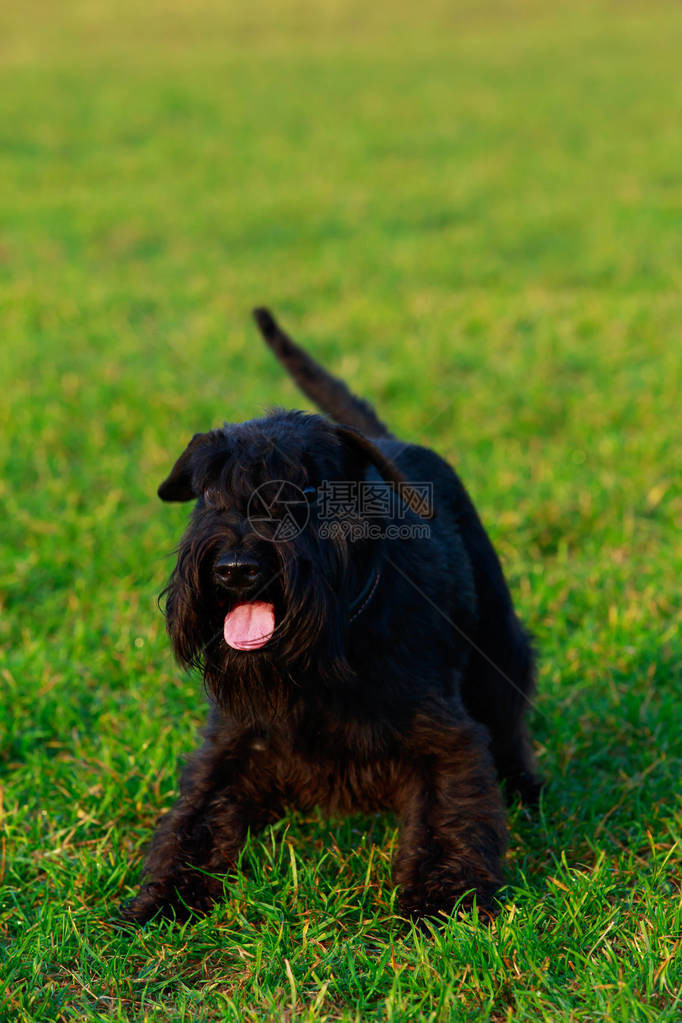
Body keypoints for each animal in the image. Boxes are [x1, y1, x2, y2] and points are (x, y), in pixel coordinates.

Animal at [122, 308, 539, 928]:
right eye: (210, 492)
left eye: (310, 487)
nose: (236, 568)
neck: (326, 657)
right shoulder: (232, 744)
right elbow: (193, 822)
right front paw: (161, 897)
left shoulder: (443, 737)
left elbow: (450, 817)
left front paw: (442, 901)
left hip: (497, 640)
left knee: (508, 714)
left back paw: (527, 789)